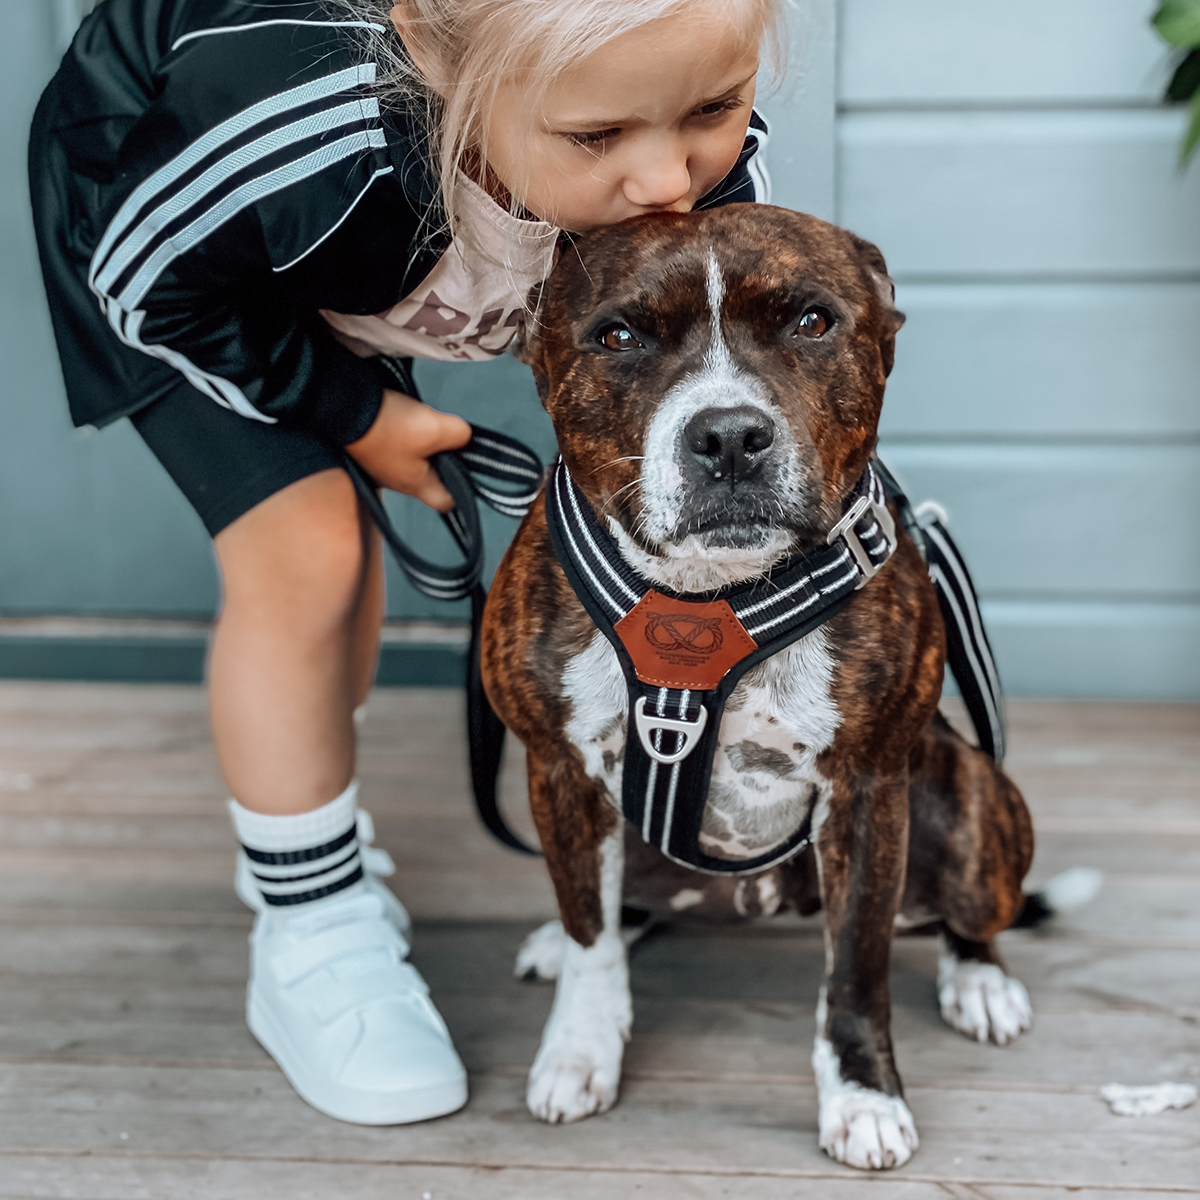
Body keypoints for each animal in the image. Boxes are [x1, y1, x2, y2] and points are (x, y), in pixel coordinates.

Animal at [482, 206, 1036, 1171]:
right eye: (618, 336)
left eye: (812, 321)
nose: (730, 436)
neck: (709, 598)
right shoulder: (558, 771)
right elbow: (591, 934)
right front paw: (580, 1048)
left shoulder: (867, 791)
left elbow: (856, 968)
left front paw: (863, 1096)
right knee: (615, 905)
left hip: (972, 802)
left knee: (969, 909)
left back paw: (981, 981)